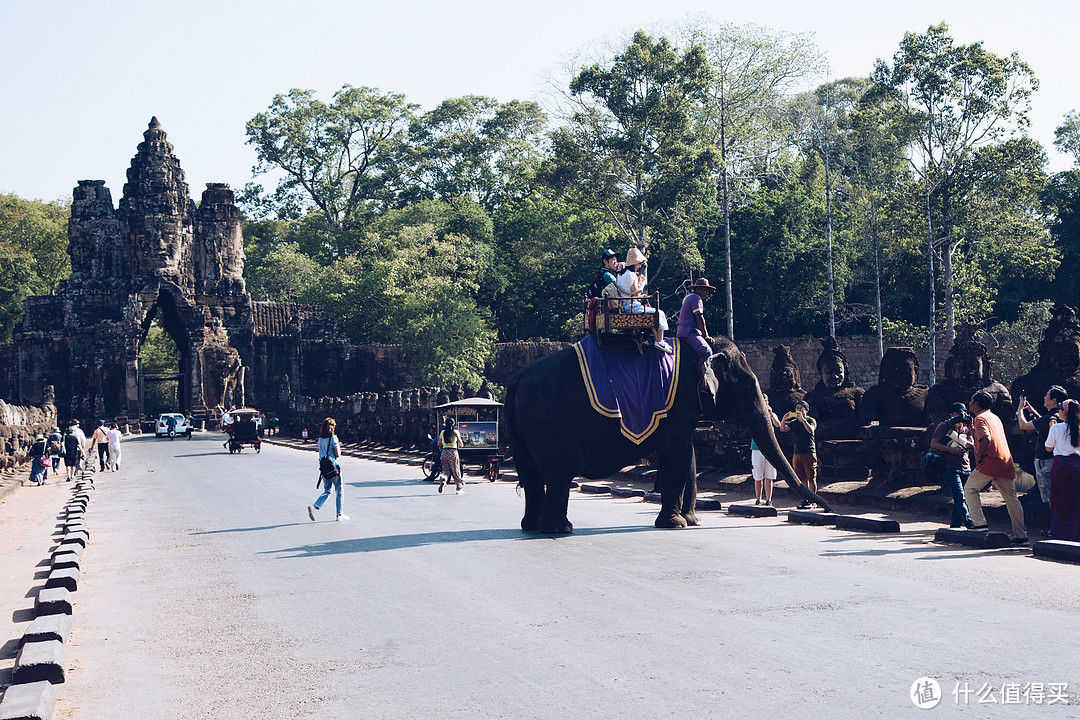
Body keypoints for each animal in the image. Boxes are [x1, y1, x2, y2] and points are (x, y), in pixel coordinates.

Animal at [507, 334, 833, 533]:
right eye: (747, 385)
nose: (828, 509)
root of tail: (517, 378)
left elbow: (688, 457)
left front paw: (692, 521)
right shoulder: (673, 405)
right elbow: (677, 454)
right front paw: (676, 523)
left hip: (524, 429)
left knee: (531, 473)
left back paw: (531, 526)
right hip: (552, 420)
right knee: (560, 470)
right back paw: (558, 529)